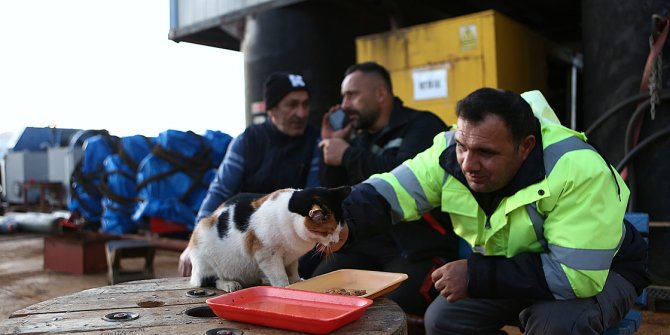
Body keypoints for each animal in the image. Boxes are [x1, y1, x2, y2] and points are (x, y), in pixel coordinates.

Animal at [185, 186, 352, 294]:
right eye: (328, 232)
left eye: (340, 228)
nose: (336, 240)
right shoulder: (268, 256)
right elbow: (280, 276)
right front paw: (285, 288)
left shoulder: (292, 257)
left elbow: (292, 272)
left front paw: (298, 283)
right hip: (206, 254)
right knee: (209, 280)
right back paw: (230, 284)